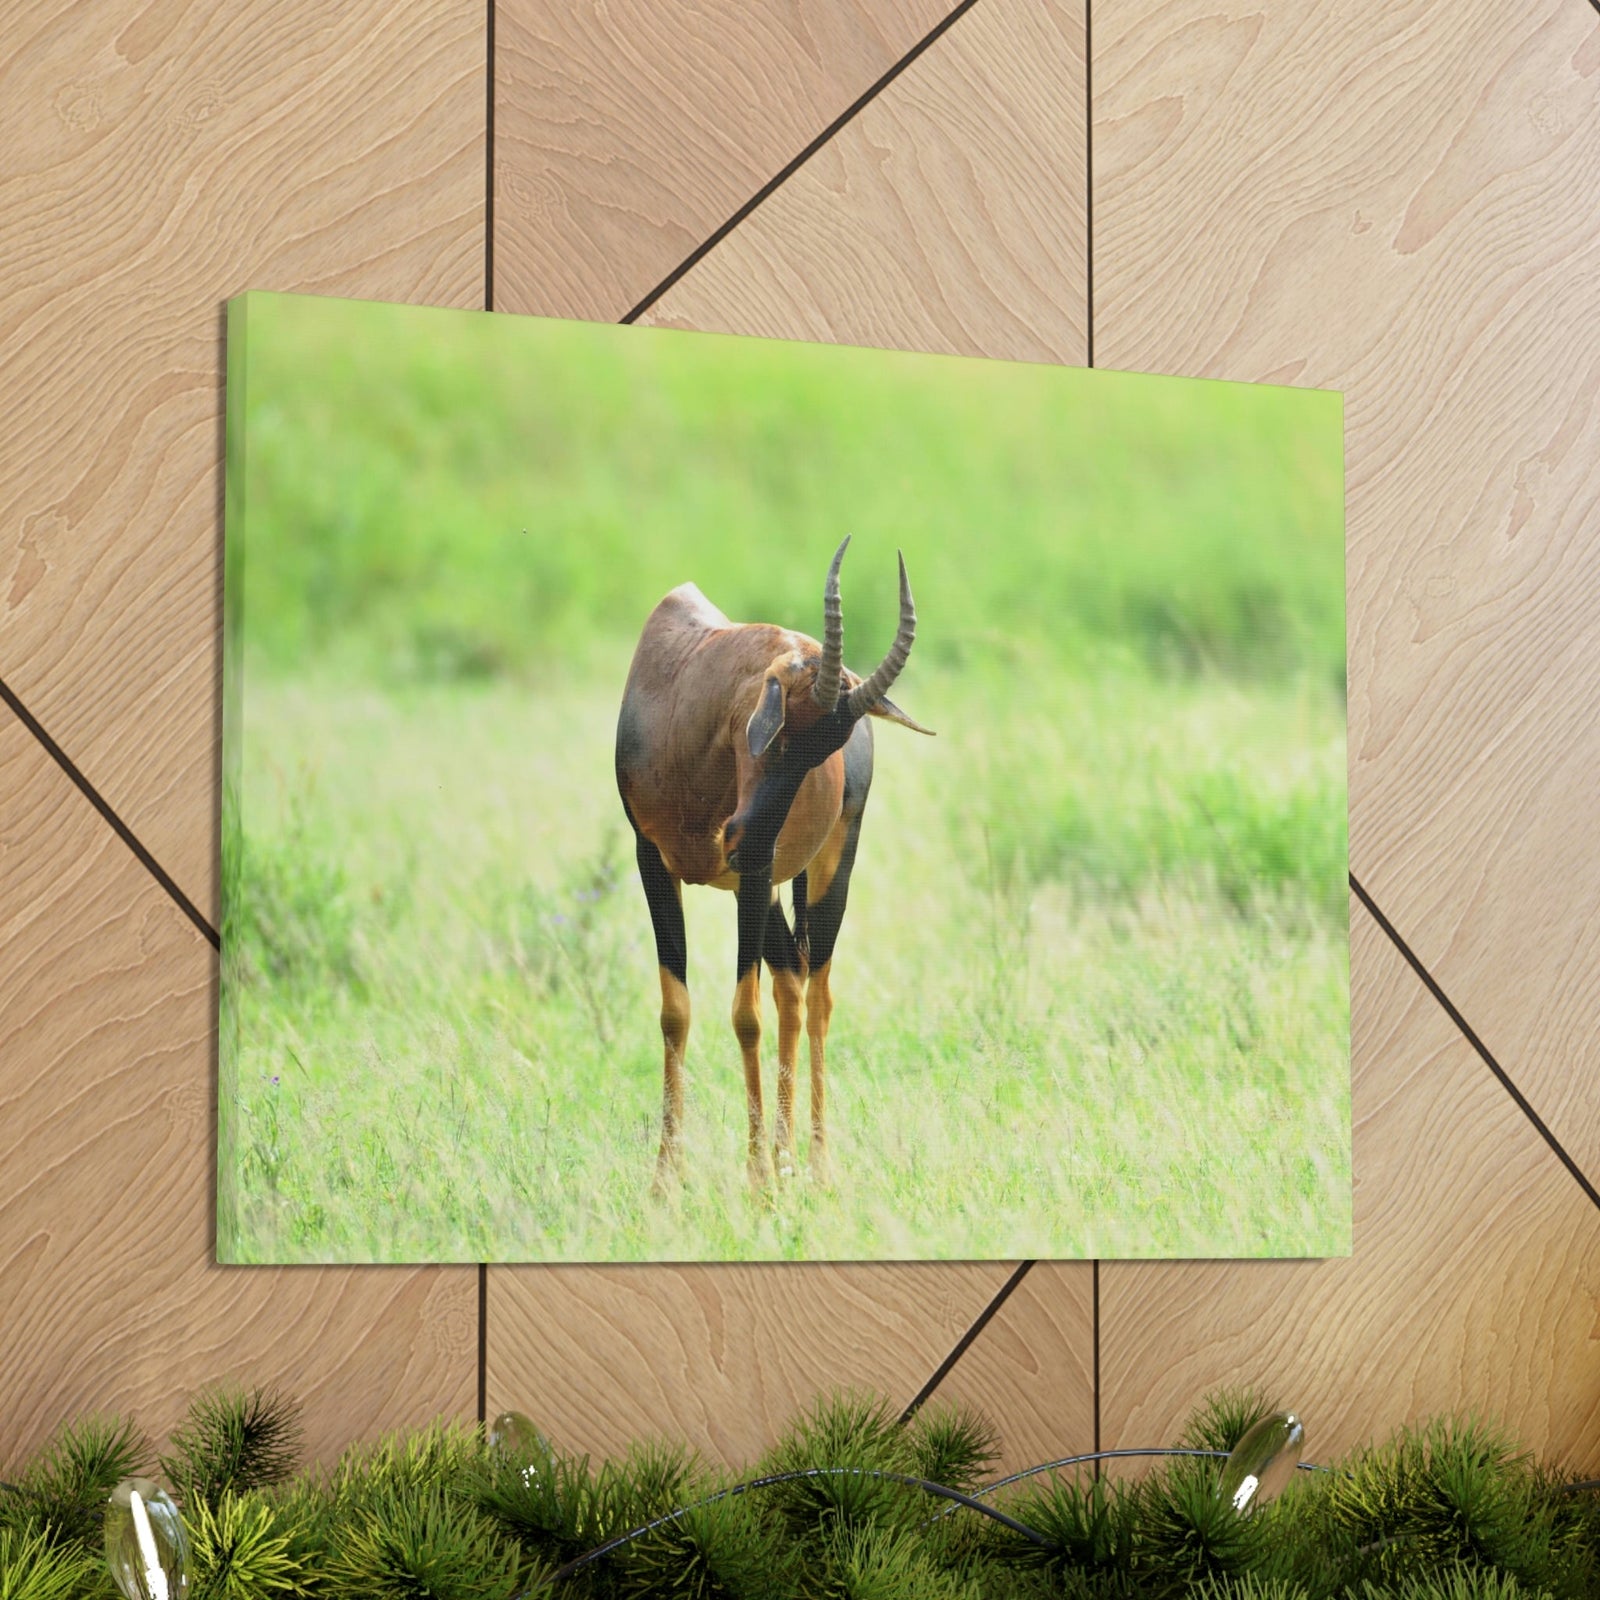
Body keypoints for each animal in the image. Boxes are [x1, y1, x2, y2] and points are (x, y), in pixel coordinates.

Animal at [615, 539, 928, 1188]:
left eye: (827, 750)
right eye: (782, 732)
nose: (739, 837)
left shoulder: (756, 875)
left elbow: (744, 1015)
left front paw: (756, 1181)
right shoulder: (652, 860)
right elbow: (675, 1010)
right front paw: (666, 1183)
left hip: (824, 869)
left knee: (818, 992)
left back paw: (816, 1164)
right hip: (765, 890)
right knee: (790, 982)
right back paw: (787, 1160)